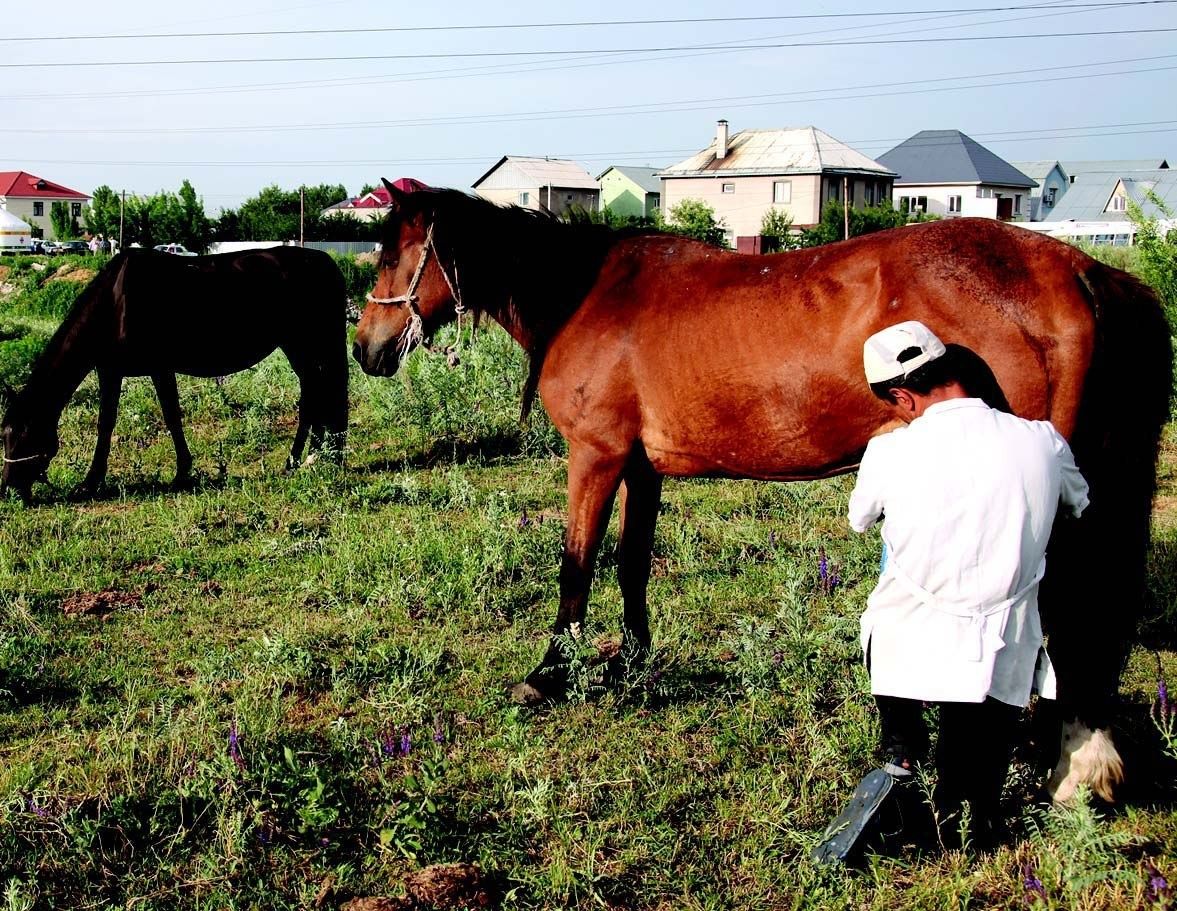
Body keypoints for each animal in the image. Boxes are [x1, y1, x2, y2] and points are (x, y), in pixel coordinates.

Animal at [3, 245, 348, 503]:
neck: (115, 302)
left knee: (320, 394)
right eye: (3, 435)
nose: (8, 488)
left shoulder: (160, 368)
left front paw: (181, 473)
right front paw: (92, 481)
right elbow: (106, 424)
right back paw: (312, 456)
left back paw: (306, 458)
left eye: (22, 436)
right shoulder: (110, 371)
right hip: (301, 347)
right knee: (317, 393)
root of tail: (328, 263)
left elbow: (171, 417)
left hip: (306, 343)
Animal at [353, 182, 1172, 805]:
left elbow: (575, 567)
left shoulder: (596, 458)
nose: (365, 348)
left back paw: (1071, 765)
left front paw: (549, 673)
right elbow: (632, 565)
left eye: (392, 252)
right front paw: (634, 665)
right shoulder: (643, 467)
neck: (585, 295)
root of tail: (1080, 271)